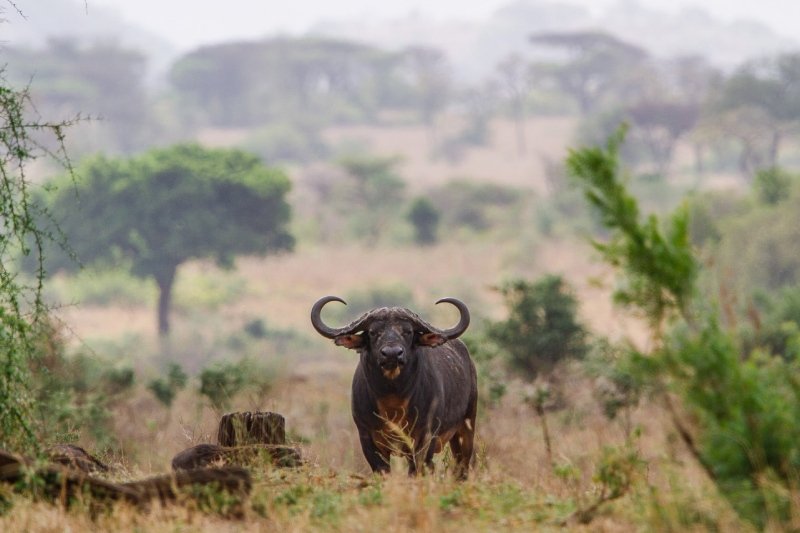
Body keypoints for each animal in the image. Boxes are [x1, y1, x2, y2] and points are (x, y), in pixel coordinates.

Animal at [311, 296, 477, 478]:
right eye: (373, 332)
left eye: (408, 331)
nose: (392, 353)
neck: (393, 398)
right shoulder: (367, 437)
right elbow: (383, 471)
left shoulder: (425, 437)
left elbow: (416, 470)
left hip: (466, 428)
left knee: (461, 467)